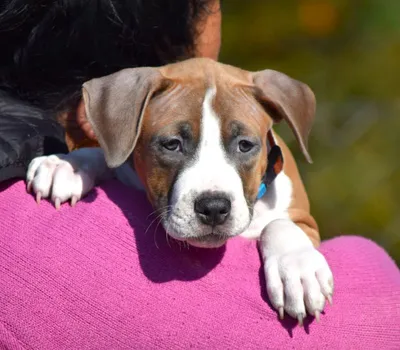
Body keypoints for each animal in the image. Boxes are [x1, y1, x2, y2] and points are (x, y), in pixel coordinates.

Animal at [25, 58, 334, 326]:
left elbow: (279, 224)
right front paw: (66, 165)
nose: (213, 207)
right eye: (172, 144)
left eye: (245, 145)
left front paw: (298, 270)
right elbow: (111, 156)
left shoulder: (305, 221)